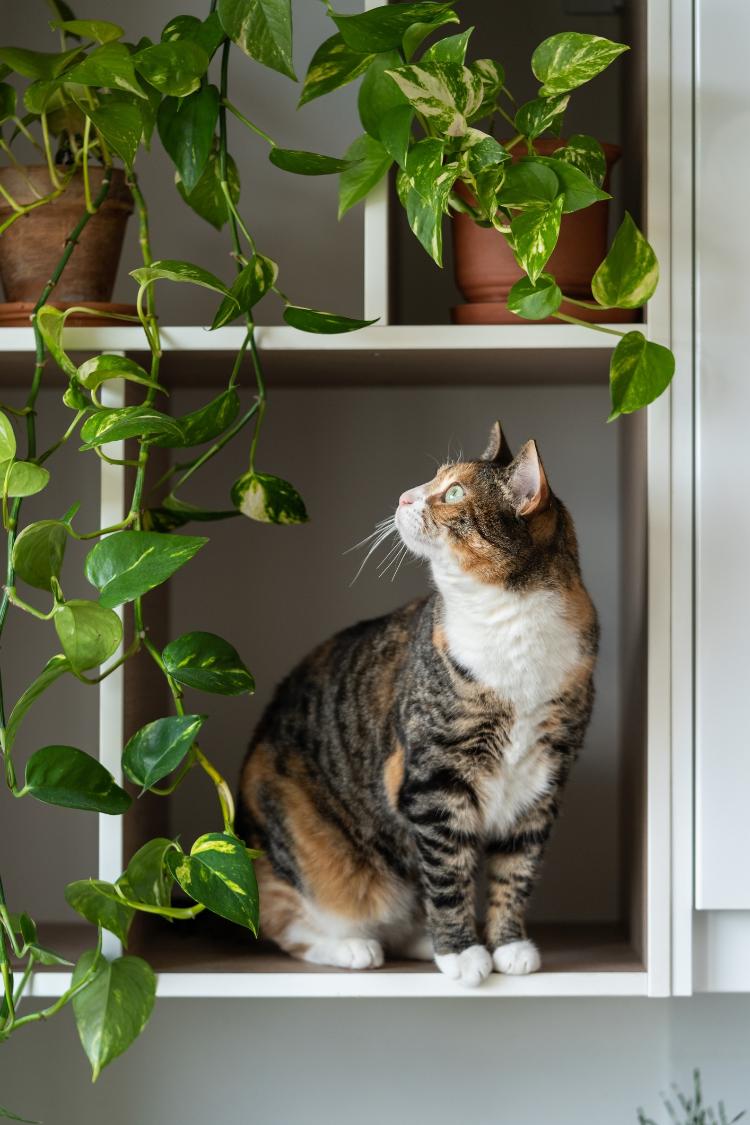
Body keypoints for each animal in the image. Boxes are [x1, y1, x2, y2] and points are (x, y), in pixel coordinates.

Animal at [237, 425, 602, 990]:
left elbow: (516, 870)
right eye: (433, 480)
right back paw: (356, 947)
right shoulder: (434, 781)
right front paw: (462, 953)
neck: (508, 620)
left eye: (452, 493)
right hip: (301, 840)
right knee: (285, 919)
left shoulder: (544, 778)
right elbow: (449, 874)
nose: (404, 497)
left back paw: (418, 940)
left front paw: (508, 945)